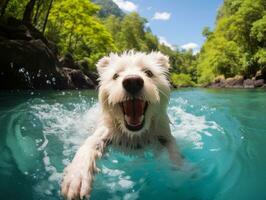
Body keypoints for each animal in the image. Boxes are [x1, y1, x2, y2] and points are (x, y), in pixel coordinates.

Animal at [61, 51, 182, 198]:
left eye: (148, 72)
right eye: (115, 75)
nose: (132, 82)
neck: (134, 134)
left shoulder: (162, 131)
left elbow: (173, 147)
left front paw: (181, 172)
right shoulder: (107, 129)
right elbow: (91, 143)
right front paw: (76, 177)